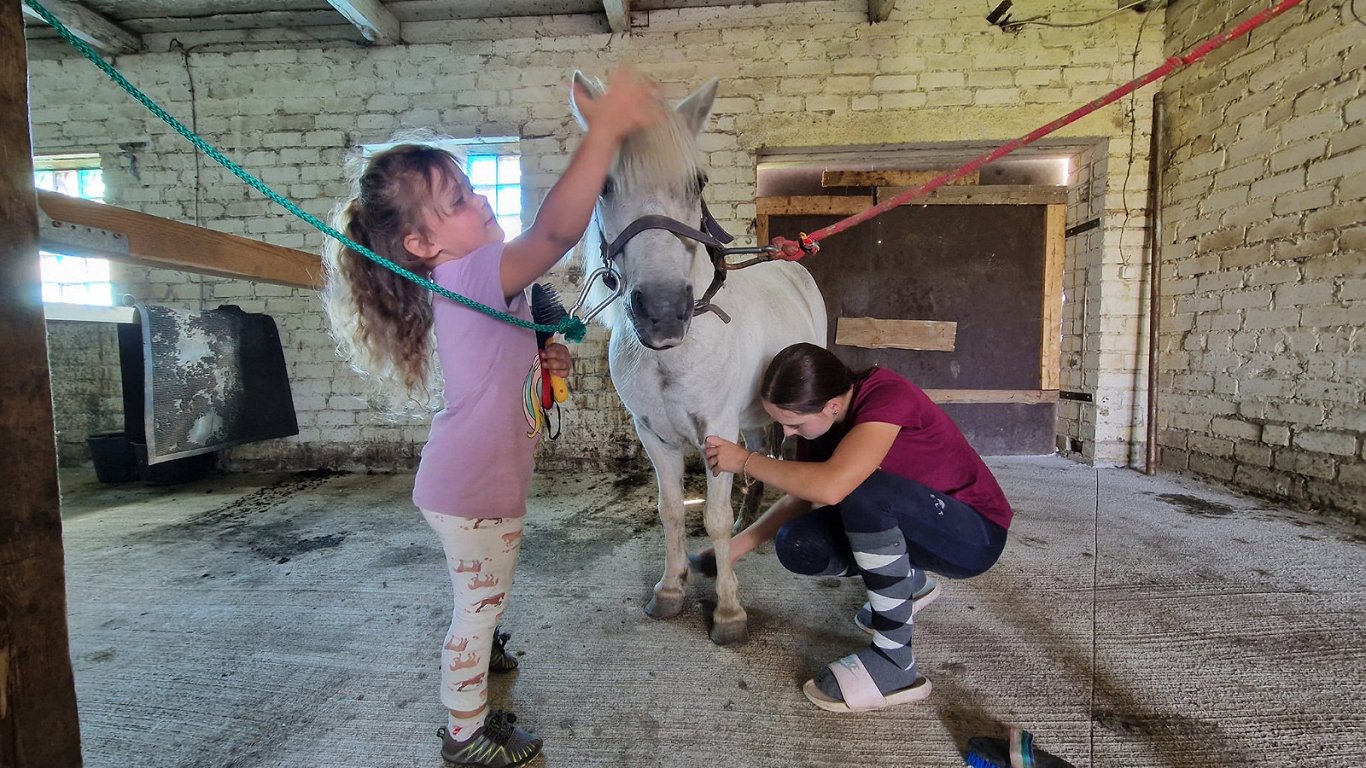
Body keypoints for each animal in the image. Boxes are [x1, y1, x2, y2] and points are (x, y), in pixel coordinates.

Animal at [570, 74, 825, 642]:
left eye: (699, 183)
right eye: (603, 185)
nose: (664, 313)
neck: (675, 355)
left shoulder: (717, 432)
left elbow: (714, 518)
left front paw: (729, 611)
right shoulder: (654, 434)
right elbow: (669, 511)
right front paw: (670, 589)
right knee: (760, 458)